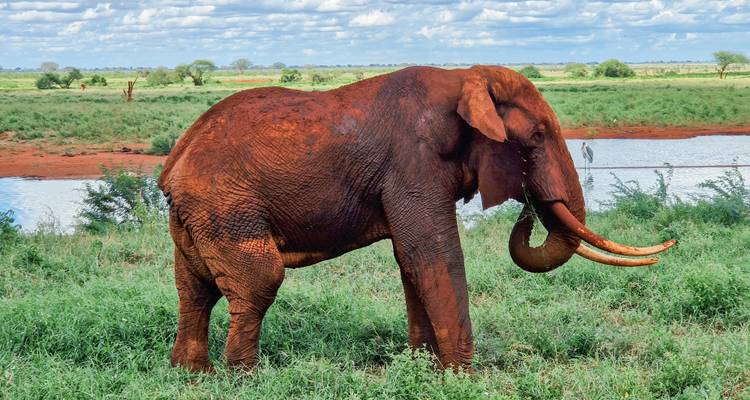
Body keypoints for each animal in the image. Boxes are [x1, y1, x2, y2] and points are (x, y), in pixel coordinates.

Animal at [158, 65, 674, 372]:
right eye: (538, 135)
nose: (528, 206)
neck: (465, 78)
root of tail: (174, 164)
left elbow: (410, 261)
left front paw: (425, 369)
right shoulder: (413, 162)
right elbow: (433, 253)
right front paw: (463, 378)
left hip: (196, 217)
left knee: (195, 289)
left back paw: (192, 374)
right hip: (226, 207)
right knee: (258, 281)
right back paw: (242, 378)